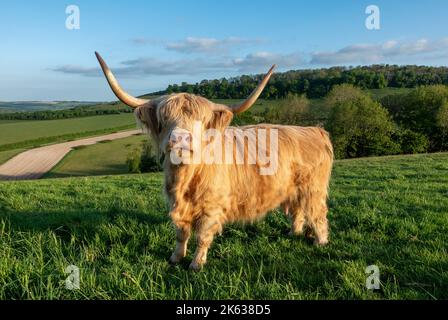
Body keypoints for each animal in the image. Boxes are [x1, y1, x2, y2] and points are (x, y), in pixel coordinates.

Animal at [95, 50, 332, 270]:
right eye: (165, 119)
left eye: (200, 120)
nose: (180, 138)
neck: (186, 179)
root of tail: (314, 130)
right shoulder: (176, 204)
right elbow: (181, 233)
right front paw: (175, 258)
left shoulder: (211, 206)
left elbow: (202, 235)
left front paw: (196, 264)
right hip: (294, 189)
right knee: (298, 210)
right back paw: (294, 232)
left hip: (313, 188)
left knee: (318, 212)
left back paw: (320, 241)